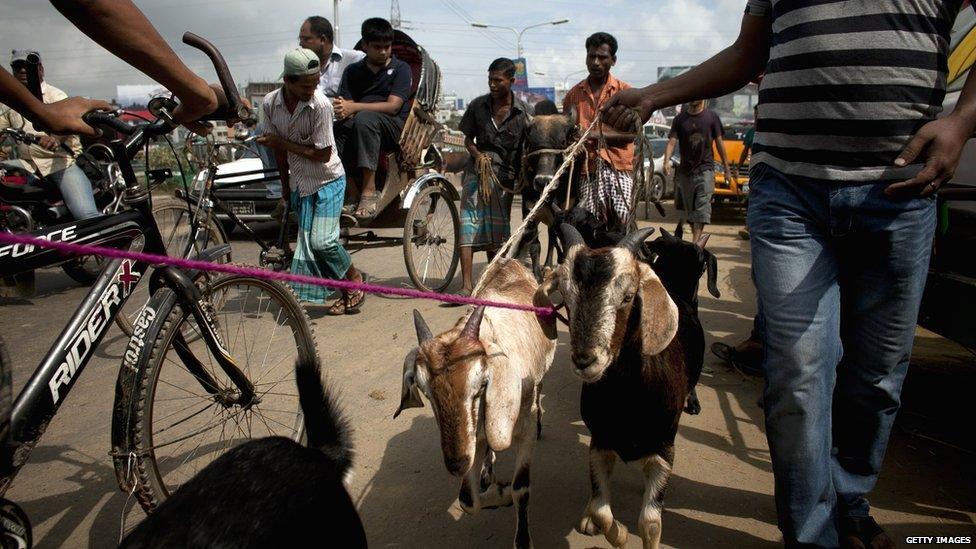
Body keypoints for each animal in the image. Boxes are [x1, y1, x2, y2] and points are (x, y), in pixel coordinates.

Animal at [392, 258, 552, 548]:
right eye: (425, 390)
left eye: (480, 386)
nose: (456, 464)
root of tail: (509, 261)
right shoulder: (472, 437)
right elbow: (467, 499)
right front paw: (499, 494)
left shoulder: (524, 429)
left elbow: (521, 488)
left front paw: (522, 537)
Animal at [532, 224, 688, 548]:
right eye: (566, 297)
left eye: (628, 296)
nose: (585, 360)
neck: (627, 398)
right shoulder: (600, 442)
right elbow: (601, 510)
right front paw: (619, 533)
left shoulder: (665, 448)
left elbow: (650, 524)